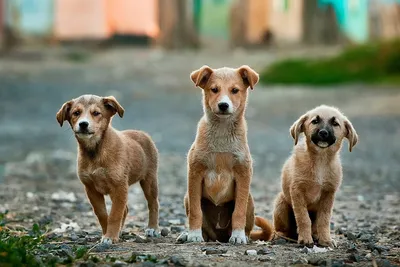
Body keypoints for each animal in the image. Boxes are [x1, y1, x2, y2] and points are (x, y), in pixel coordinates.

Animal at [56, 96, 159, 245]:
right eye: (76, 113)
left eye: (96, 113)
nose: (83, 124)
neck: (95, 151)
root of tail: (142, 133)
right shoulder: (91, 189)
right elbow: (103, 214)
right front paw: (107, 234)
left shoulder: (119, 186)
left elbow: (115, 214)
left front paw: (110, 236)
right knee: (125, 209)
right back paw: (120, 231)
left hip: (149, 180)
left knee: (153, 204)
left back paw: (153, 228)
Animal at [177, 65, 272, 245]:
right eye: (214, 89)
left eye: (235, 90)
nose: (223, 105)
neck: (221, 131)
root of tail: (219, 236)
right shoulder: (195, 172)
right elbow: (195, 211)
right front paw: (193, 234)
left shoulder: (243, 173)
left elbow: (238, 212)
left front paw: (238, 235)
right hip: (187, 197)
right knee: (204, 227)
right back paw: (190, 234)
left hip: (250, 200)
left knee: (246, 224)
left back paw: (243, 236)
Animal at [274, 105, 358, 248]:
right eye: (315, 121)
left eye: (335, 123)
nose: (323, 133)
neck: (320, 160)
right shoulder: (297, 191)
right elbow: (303, 218)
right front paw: (305, 239)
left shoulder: (328, 194)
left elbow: (324, 220)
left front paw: (326, 239)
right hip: (281, 203)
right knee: (281, 229)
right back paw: (282, 236)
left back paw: (316, 235)